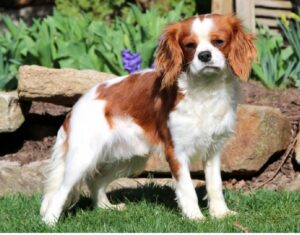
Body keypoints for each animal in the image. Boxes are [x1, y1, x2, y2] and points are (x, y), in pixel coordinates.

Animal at [39, 13, 255, 226]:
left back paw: (106, 208)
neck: (205, 90)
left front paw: (221, 214)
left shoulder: (213, 150)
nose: (204, 55)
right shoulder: (176, 152)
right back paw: (49, 222)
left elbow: (215, 185)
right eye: (190, 45)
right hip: (83, 156)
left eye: (219, 42)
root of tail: (75, 107)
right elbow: (187, 189)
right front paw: (195, 217)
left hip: (130, 158)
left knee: (96, 181)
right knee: (60, 191)